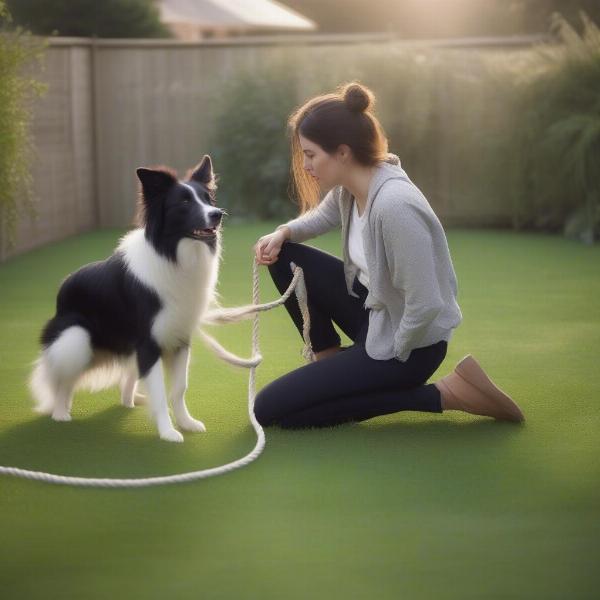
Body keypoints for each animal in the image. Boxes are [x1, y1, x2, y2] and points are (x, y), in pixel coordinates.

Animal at [31, 157, 234, 442]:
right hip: (75, 339)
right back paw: (60, 413)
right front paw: (168, 432)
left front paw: (186, 423)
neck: (173, 255)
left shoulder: (180, 337)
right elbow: (159, 392)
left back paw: (130, 400)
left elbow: (179, 388)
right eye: (184, 202)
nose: (217, 214)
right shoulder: (149, 344)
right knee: (63, 377)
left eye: (208, 199)